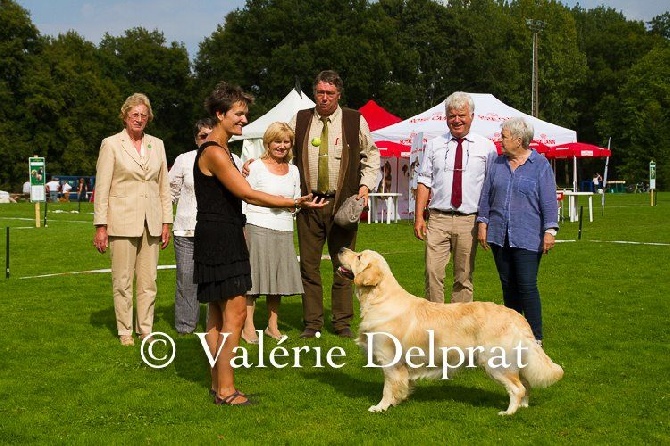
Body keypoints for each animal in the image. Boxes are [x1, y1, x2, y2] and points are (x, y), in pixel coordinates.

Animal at [338, 247, 564, 414]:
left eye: (359, 256)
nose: (340, 248)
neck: (379, 299)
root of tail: (518, 317)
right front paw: (401, 399)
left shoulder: (390, 360)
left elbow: (388, 388)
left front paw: (380, 407)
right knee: (525, 384)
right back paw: (523, 407)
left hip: (495, 362)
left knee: (517, 388)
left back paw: (508, 412)